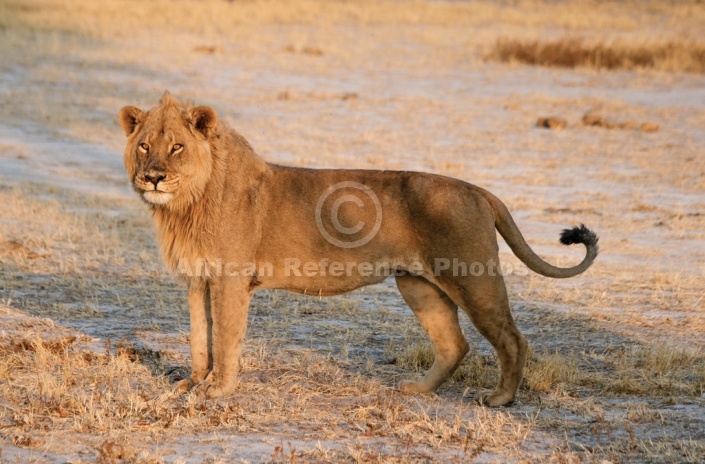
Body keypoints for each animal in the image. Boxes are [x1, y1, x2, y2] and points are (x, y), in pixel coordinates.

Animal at [118, 91, 596, 406]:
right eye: (144, 145)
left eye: (177, 147)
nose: (153, 177)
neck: (186, 204)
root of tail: (479, 190)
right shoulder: (197, 279)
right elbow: (199, 336)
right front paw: (192, 382)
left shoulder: (230, 280)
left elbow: (225, 337)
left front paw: (217, 389)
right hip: (418, 284)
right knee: (454, 344)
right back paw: (419, 390)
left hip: (472, 279)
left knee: (513, 339)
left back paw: (500, 399)